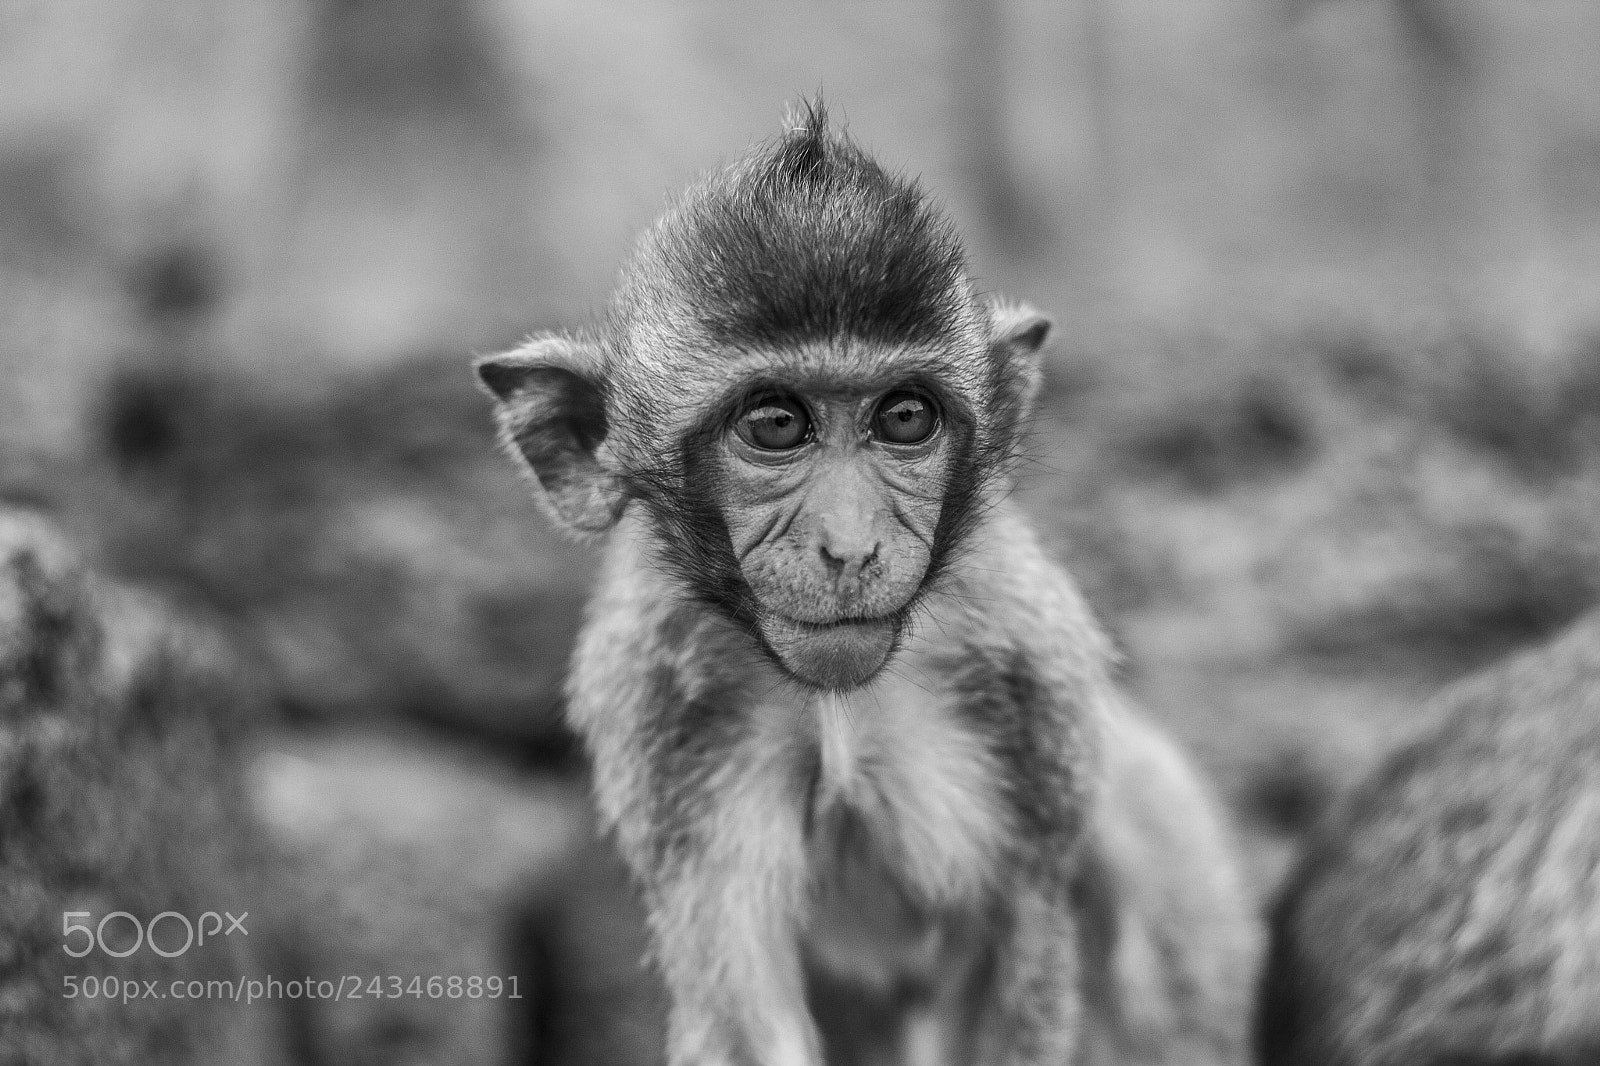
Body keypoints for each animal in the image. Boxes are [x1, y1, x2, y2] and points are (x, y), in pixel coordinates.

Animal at [477, 101, 1258, 1066]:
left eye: (905, 417)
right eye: (777, 424)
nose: (849, 548)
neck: (837, 707)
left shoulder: (1028, 689)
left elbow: (1013, 959)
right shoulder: (663, 714)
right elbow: (740, 1005)